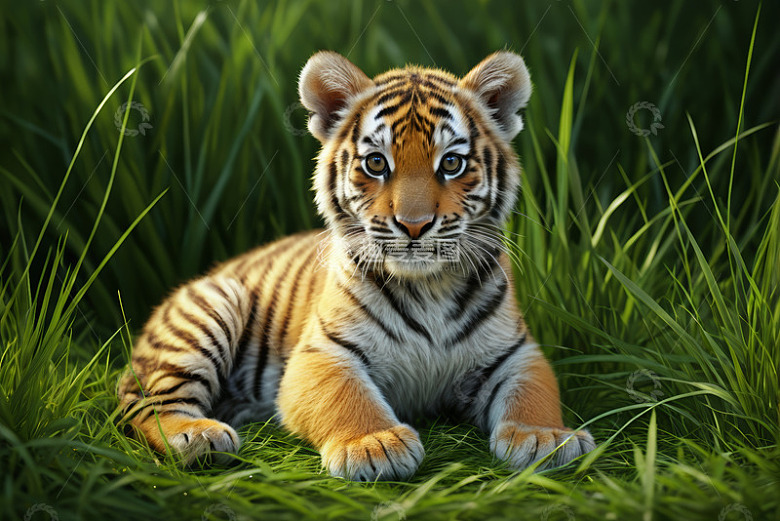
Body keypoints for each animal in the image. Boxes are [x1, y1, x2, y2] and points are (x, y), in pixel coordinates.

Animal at [118, 50, 596, 481]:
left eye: (452, 163)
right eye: (377, 162)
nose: (414, 225)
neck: (430, 287)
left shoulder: (515, 353)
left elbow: (533, 392)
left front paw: (546, 437)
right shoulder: (323, 351)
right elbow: (345, 395)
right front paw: (373, 445)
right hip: (207, 314)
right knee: (145, 404)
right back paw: (197, 436)